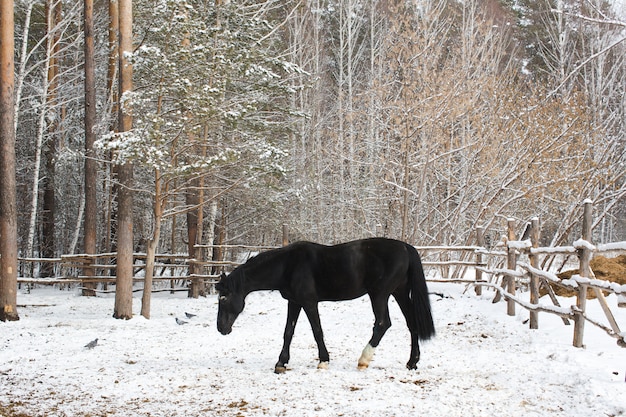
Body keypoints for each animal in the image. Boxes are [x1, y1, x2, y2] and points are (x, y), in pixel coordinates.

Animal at [214, 237, 434, 370]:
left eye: (223, 298)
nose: (221, 328)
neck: (288, 265)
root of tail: (405, 247)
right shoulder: (294, 303)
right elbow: (288, 332)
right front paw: (281, 363)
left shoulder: (309, 302)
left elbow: (317, 330)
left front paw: (323, 360)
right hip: (399, 293)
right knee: (412, 323)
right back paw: (412, 362)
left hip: (379, 295)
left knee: (382, 323)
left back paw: (363, 359)